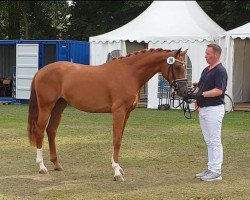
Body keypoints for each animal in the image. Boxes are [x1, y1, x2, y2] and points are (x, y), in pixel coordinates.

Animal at [27, 47, 188, 181]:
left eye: (185, 66)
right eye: (177, 66)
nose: (184, 91)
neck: (129, 73)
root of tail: (40, 71)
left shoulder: (127, 113)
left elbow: (120, 138)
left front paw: (119, 168)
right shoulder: (119, 111)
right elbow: (116, 140)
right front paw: (116, 172)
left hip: (59, 106)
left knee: (51, 130)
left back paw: (57, 164)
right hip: (46, 107)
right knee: (40, 131)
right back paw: (42, 167)